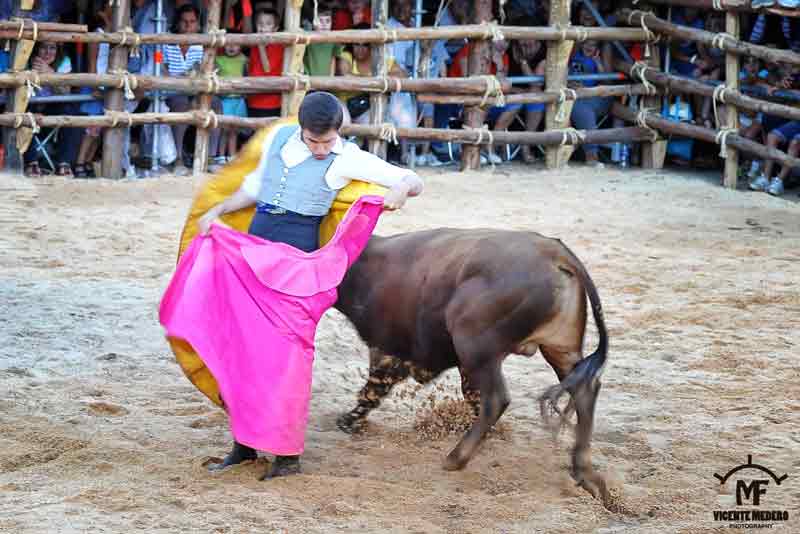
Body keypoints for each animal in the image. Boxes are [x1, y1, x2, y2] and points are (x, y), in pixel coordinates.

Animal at [334, 229, 608, 502]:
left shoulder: (386, 349)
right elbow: (470, 394)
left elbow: (371, 391)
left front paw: (347, 421)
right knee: (584, 393)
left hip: (475, 344)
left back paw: (456, 458)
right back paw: (586, 474)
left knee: (496, 399)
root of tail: (555, 252)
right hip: (560, 350)